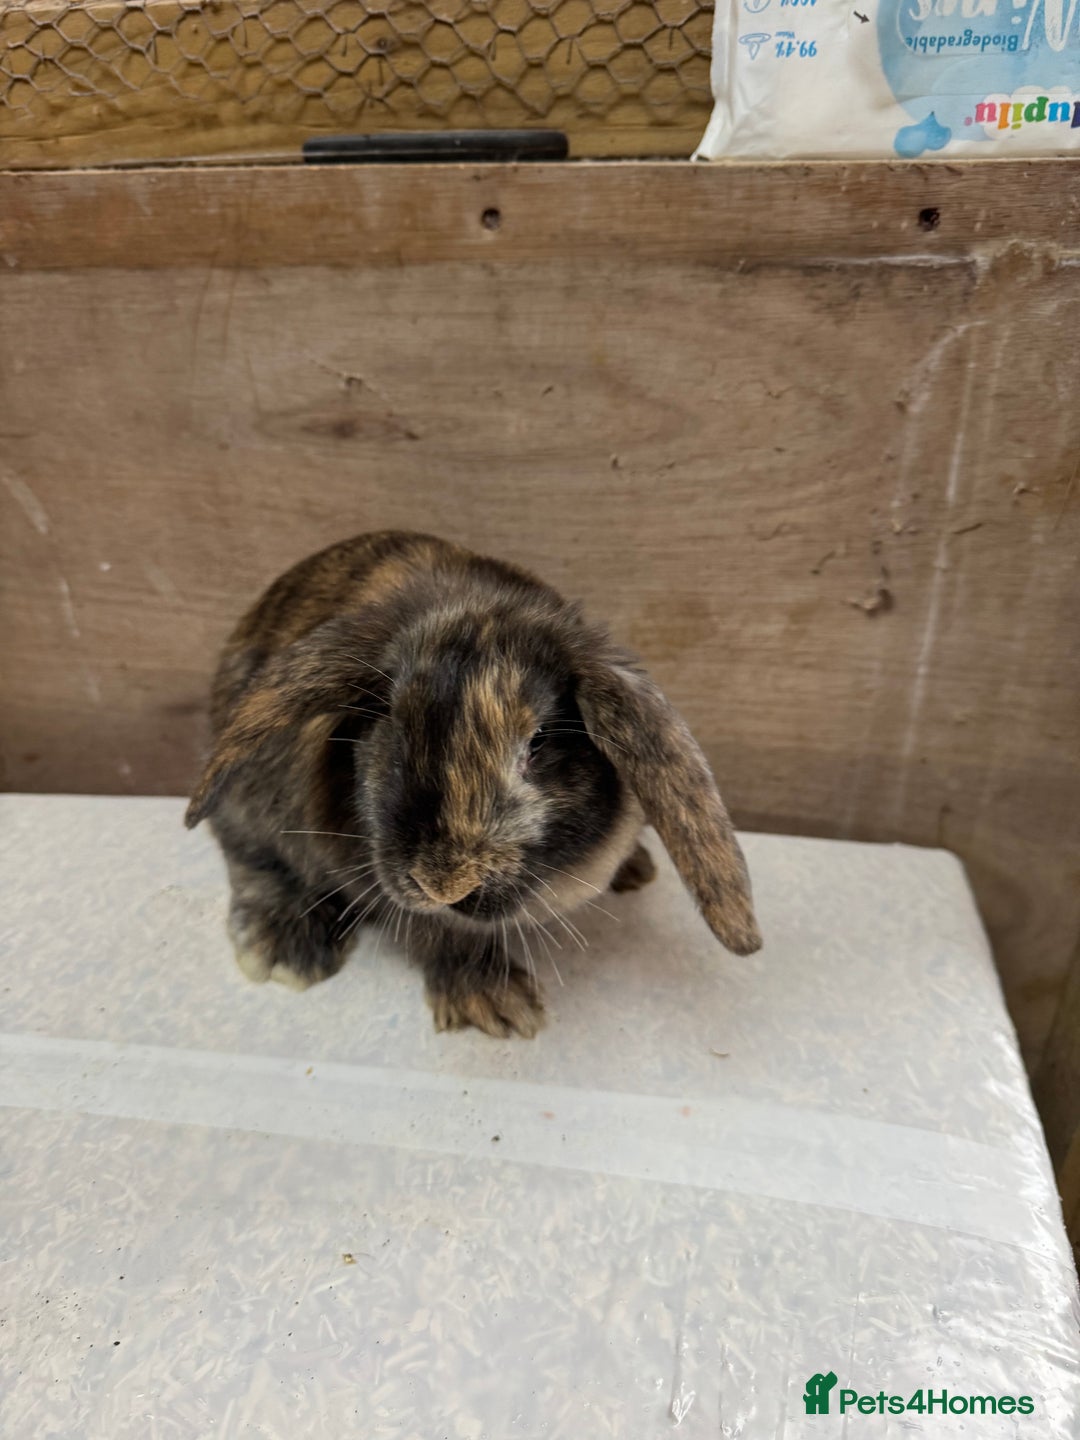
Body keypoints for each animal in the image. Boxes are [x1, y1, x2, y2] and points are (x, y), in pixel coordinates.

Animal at [185, 531, 761, 1038]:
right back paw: (284, 946)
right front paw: (495, 1001)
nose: (445, 883)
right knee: (249, 854)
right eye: (391, 721)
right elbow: (439, 932)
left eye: (538, 741)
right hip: (250, 801)